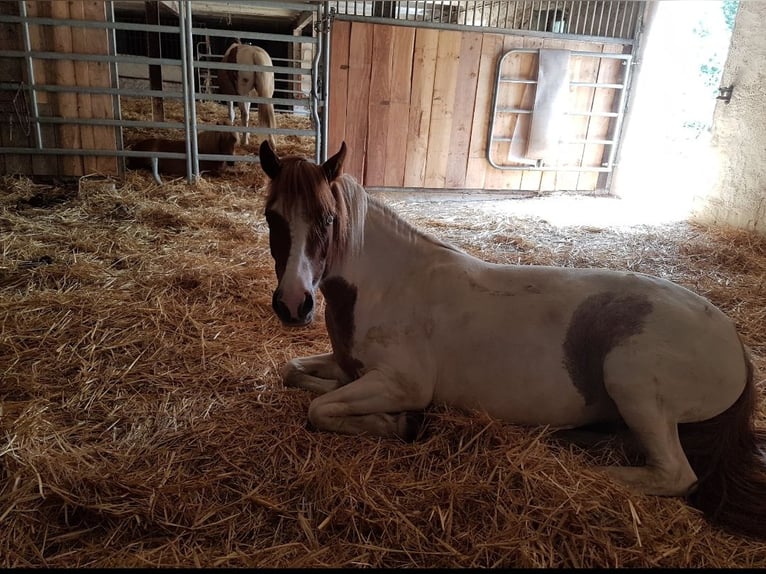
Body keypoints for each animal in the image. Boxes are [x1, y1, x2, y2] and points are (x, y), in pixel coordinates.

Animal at [256, 139, 766, 540]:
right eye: (271, 217)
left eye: (326, 219)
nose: (294, 304)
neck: (389, 284)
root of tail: (737, 347)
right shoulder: (347, 365)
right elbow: (294, 374)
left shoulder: (402, 384)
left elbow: (320, 408)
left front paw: (401, 423)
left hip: (632, 381)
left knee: (676, 475)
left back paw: (585, 467)